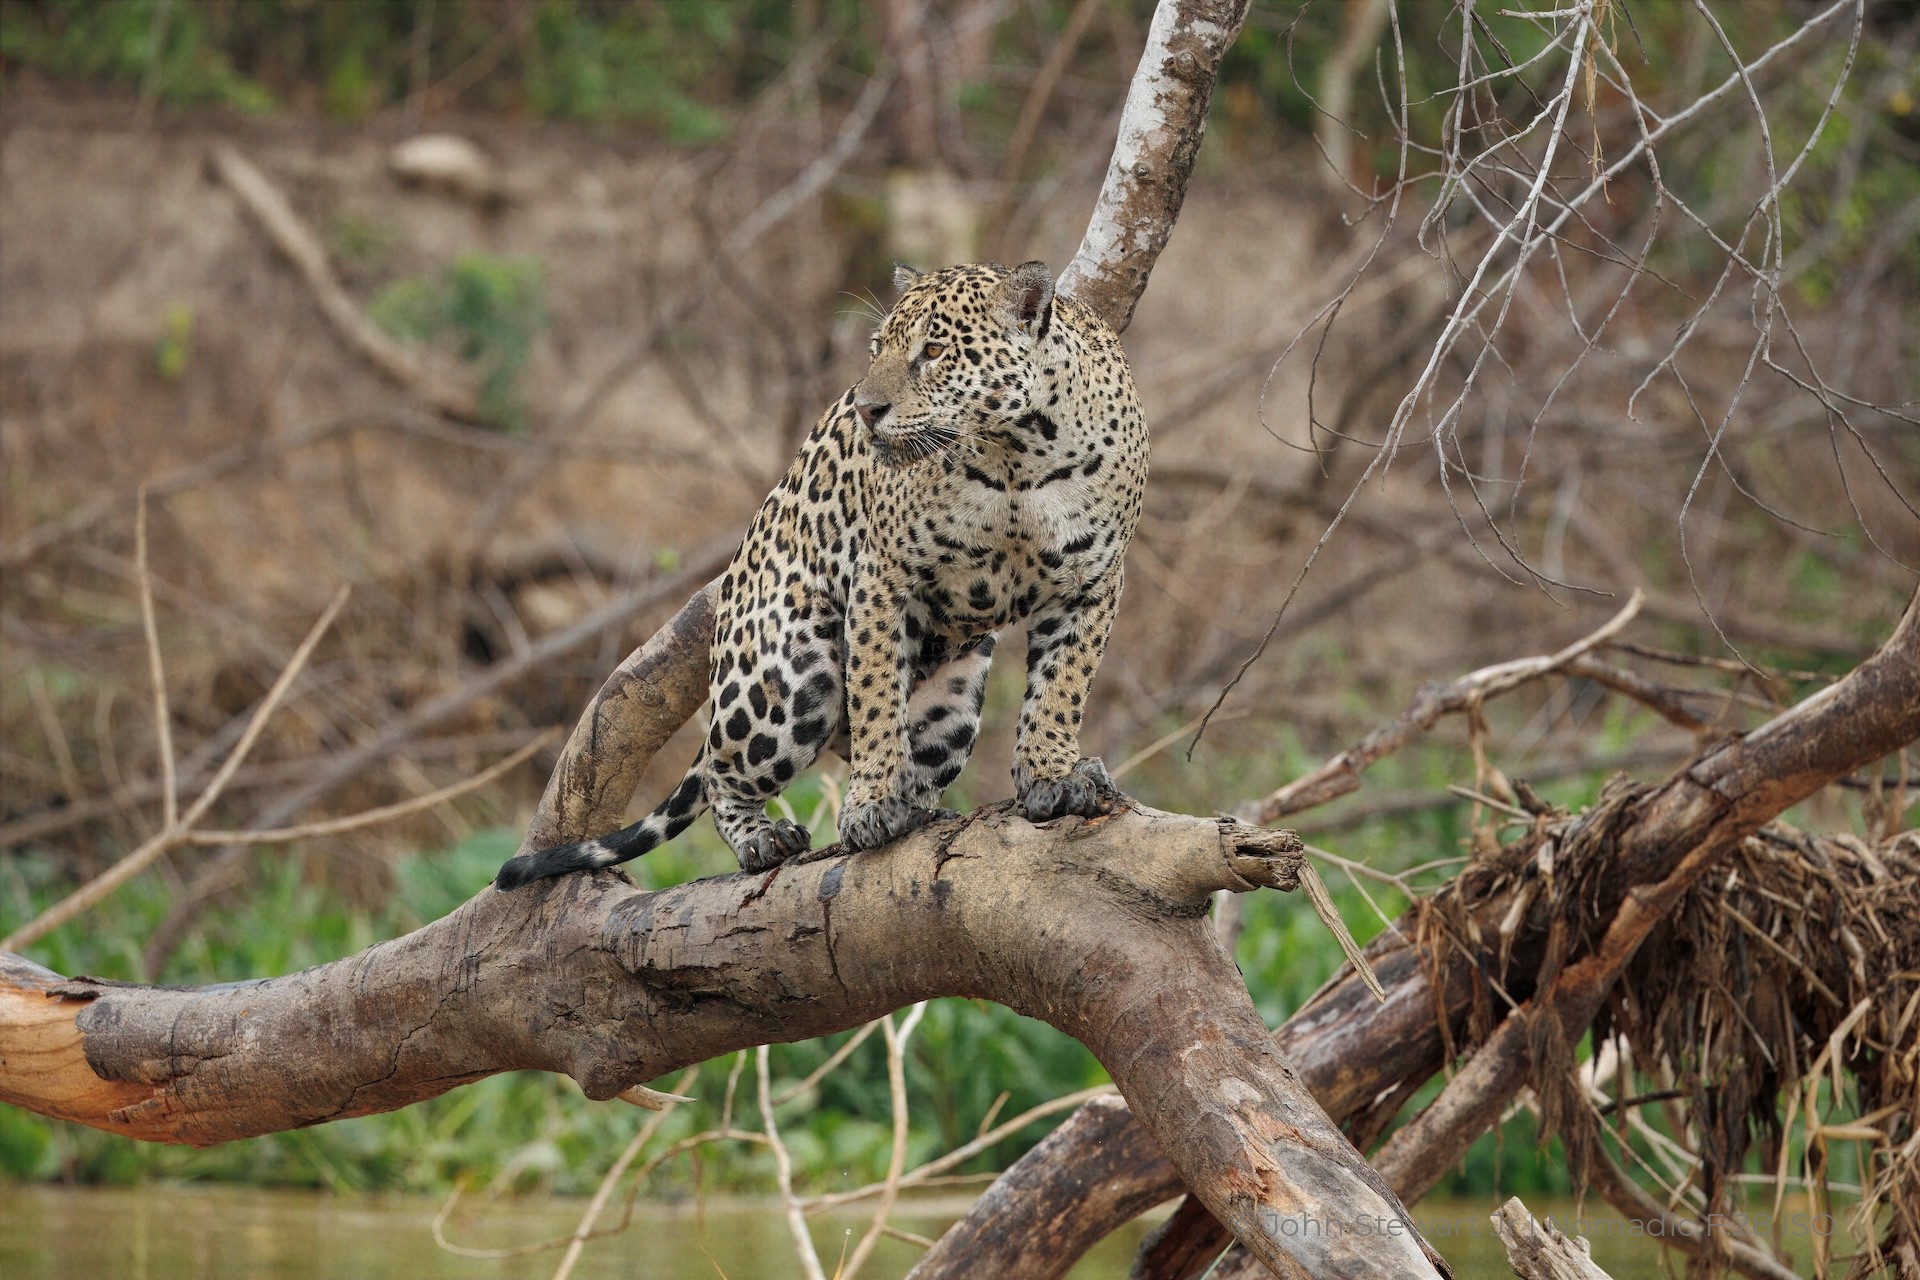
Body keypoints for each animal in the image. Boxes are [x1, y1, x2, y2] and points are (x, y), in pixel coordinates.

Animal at [495, 260, 1149, 890]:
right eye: (878, 348)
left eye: (935, 350)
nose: (866, 409)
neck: (1017, 456)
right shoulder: (884, 577)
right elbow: (877, 695)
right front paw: (871, 805)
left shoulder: (1094, 583)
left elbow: (1062, 688)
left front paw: (1052, 775)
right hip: (790, 678)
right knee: (727, 774)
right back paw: (766, 838)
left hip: (953, 713)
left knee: (900, 755)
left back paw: (924, 808)